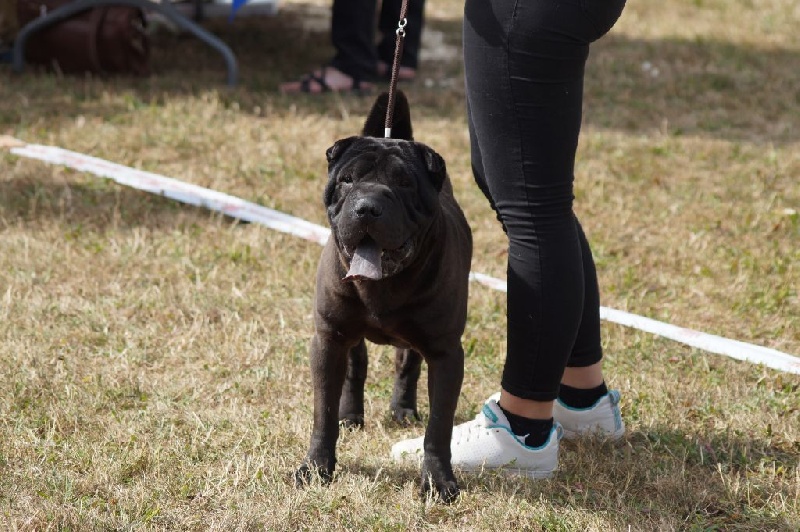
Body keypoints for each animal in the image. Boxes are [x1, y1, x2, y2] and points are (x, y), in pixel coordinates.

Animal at [294, 92, 472, 502]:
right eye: (347, 180)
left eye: (403, 183)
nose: (366, 208)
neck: (382, 286)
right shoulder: (327, 339)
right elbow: (322, 412)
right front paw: (317, 467)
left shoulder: (446, 353)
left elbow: (439, 428)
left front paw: (438, 482)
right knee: (356, 365)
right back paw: (351, 415)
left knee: (407, 362)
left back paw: (402, 410)